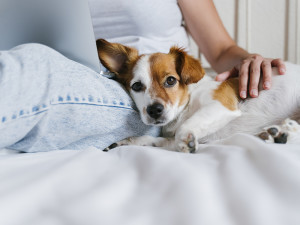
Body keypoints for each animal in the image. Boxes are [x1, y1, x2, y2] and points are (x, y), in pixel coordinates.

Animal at [96, 39, 300, 154]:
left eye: (171, 80)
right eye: (137, 86)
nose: (154, 110)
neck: (185, 107)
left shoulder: (220, 107)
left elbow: (184, 129)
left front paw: (186, 141)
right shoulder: (172, 139)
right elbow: (152, 140)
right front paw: (125, 142)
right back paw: (278, 133)